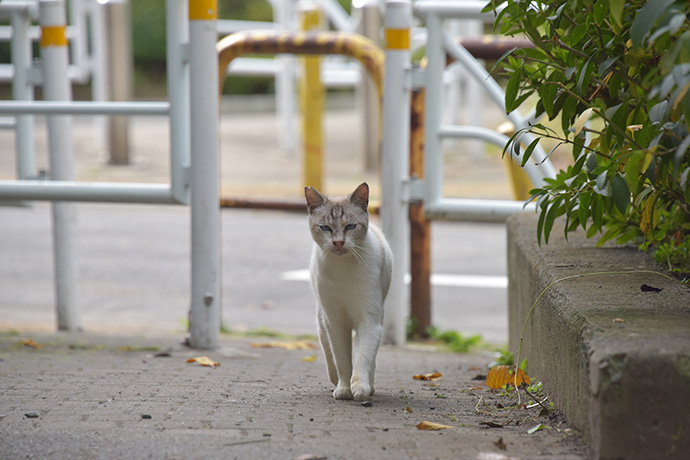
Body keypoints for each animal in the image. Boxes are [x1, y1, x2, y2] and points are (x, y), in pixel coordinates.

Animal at [302, 181, 390, 400]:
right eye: (325, 227)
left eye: (350, 226)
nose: (338, 242)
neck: (342, 272)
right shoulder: (335, 323)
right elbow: (341, 361)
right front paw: (343, 389)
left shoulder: (369, 322)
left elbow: (362, 359)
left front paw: (360, 387)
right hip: (322, 320)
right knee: (329, 354)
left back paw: (370, 386)